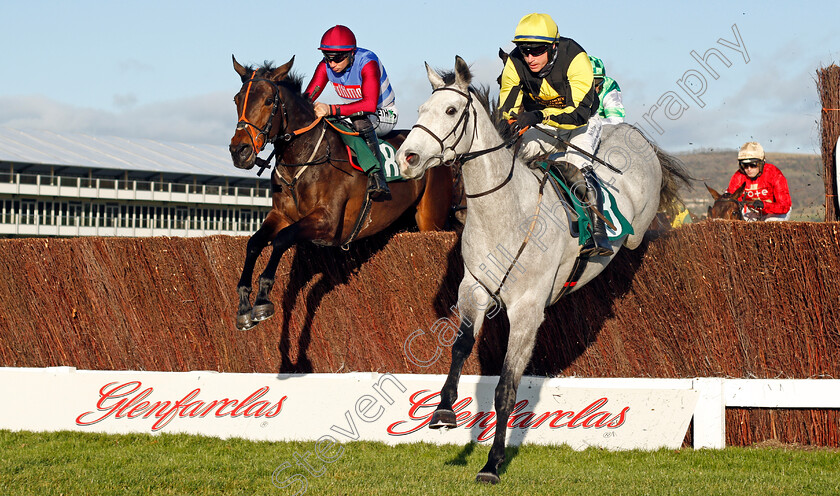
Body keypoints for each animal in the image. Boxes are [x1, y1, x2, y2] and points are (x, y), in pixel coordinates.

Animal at [228, 56, 452, 332]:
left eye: (269, 100)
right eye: (237, 99)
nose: (239, 151)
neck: (302, 160)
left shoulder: (328, 221)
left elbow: (282, 239)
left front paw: (262, 299)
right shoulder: (280, 215)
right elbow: (254, 243)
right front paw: (244, 304)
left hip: (431, 220)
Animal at [394, 56, 688, 482]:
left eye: (450, 111)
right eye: (420, 110)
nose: (407, 159)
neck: (503, 214)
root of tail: (632, 132)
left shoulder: (527, 311)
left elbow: (506, 388)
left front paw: (493, 462)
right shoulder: (474, 289)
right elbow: (461, 345)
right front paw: (444, 410)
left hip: (635, 220)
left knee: (629, 226)